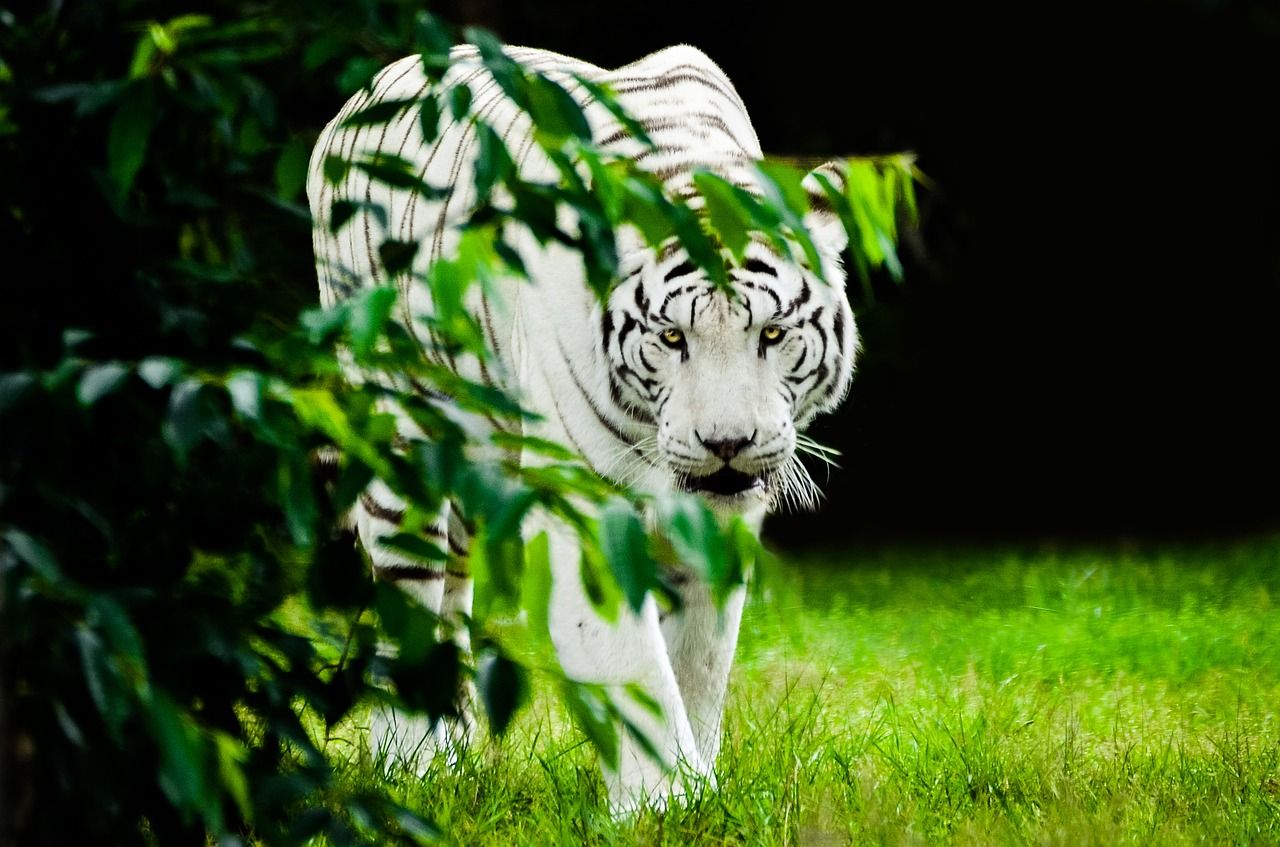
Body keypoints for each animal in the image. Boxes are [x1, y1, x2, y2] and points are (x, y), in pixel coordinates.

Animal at [304, 43, 855, 813]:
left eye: (771, 333)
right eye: (672, 337)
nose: (726, 445)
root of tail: (370, 87)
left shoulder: (722, 520)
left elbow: (701, 658)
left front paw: (699, 789)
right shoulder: (586, 506)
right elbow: (632, 663)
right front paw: (664, 804)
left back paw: (453, 764)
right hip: (399, 434)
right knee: (407, 590)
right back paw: (405, 765)